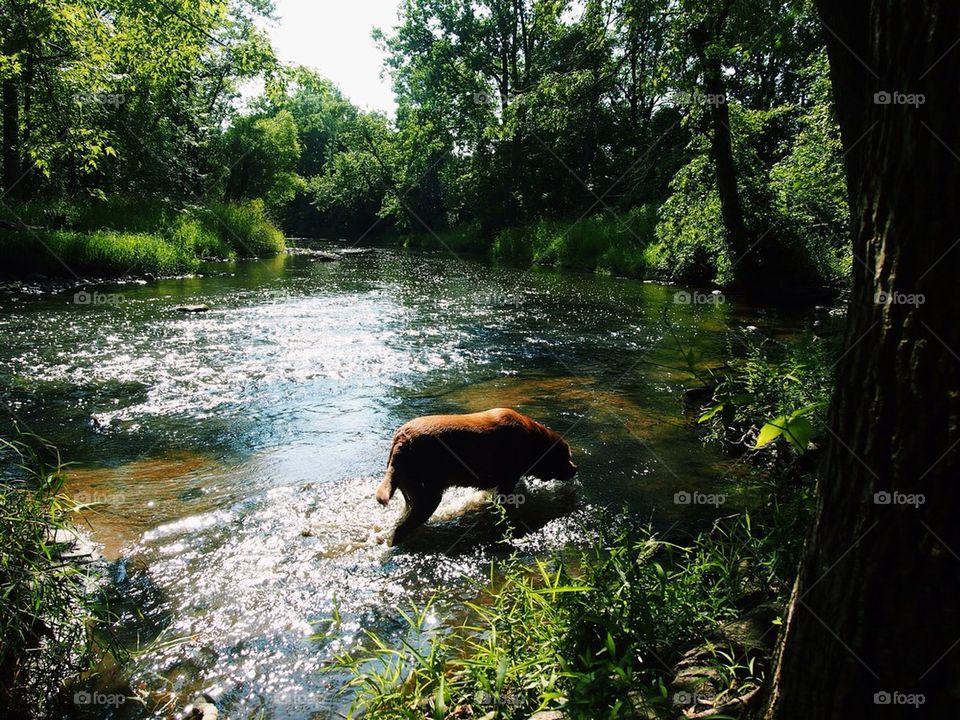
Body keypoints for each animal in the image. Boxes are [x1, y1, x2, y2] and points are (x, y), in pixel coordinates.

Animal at [376, 408, 576, 544]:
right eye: (566, 457)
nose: (575, 469)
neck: (531, 443)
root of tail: (401, 441)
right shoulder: (507, 482)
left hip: (410, 495)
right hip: (428, 498)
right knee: (401, 530)